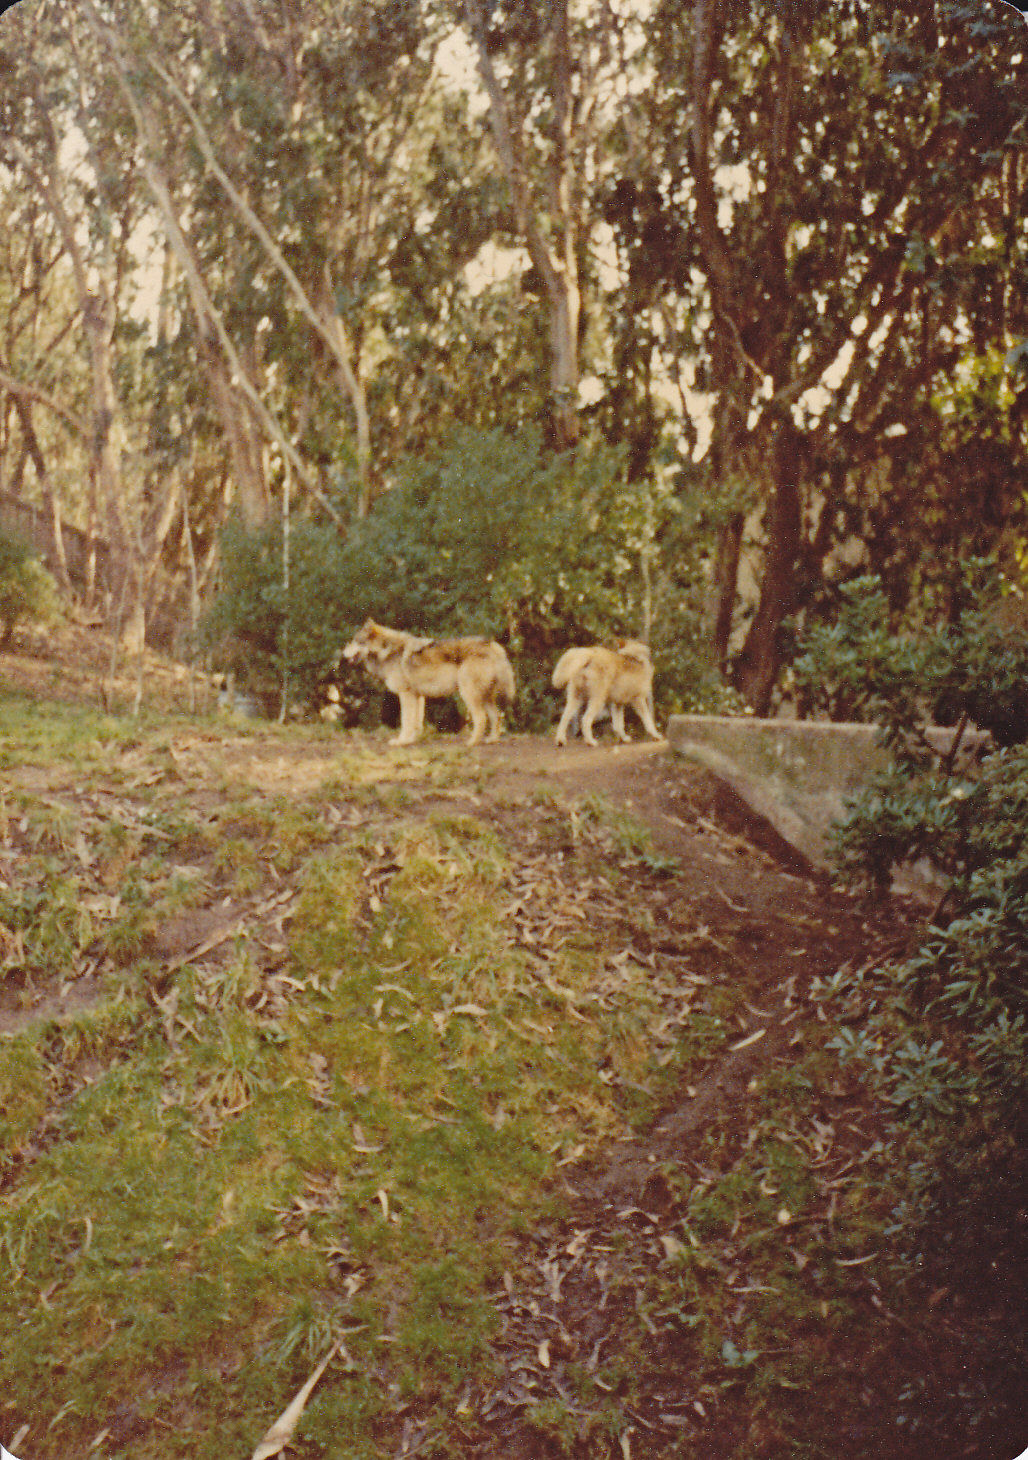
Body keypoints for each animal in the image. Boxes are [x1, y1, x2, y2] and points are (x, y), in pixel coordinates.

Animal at [341, 618, 515, 747]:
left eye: (356, 641)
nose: (342, 655)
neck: (387, 651)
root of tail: (493, 645)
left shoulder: (406, 695)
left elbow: (406, 721)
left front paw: (401, 741)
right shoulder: (418, 696)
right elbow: (416, 722)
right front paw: (411, 740)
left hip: (468, 695)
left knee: (481, 718)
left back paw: (472, 742)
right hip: (484, 697)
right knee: (497, 715)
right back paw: (492, 739)